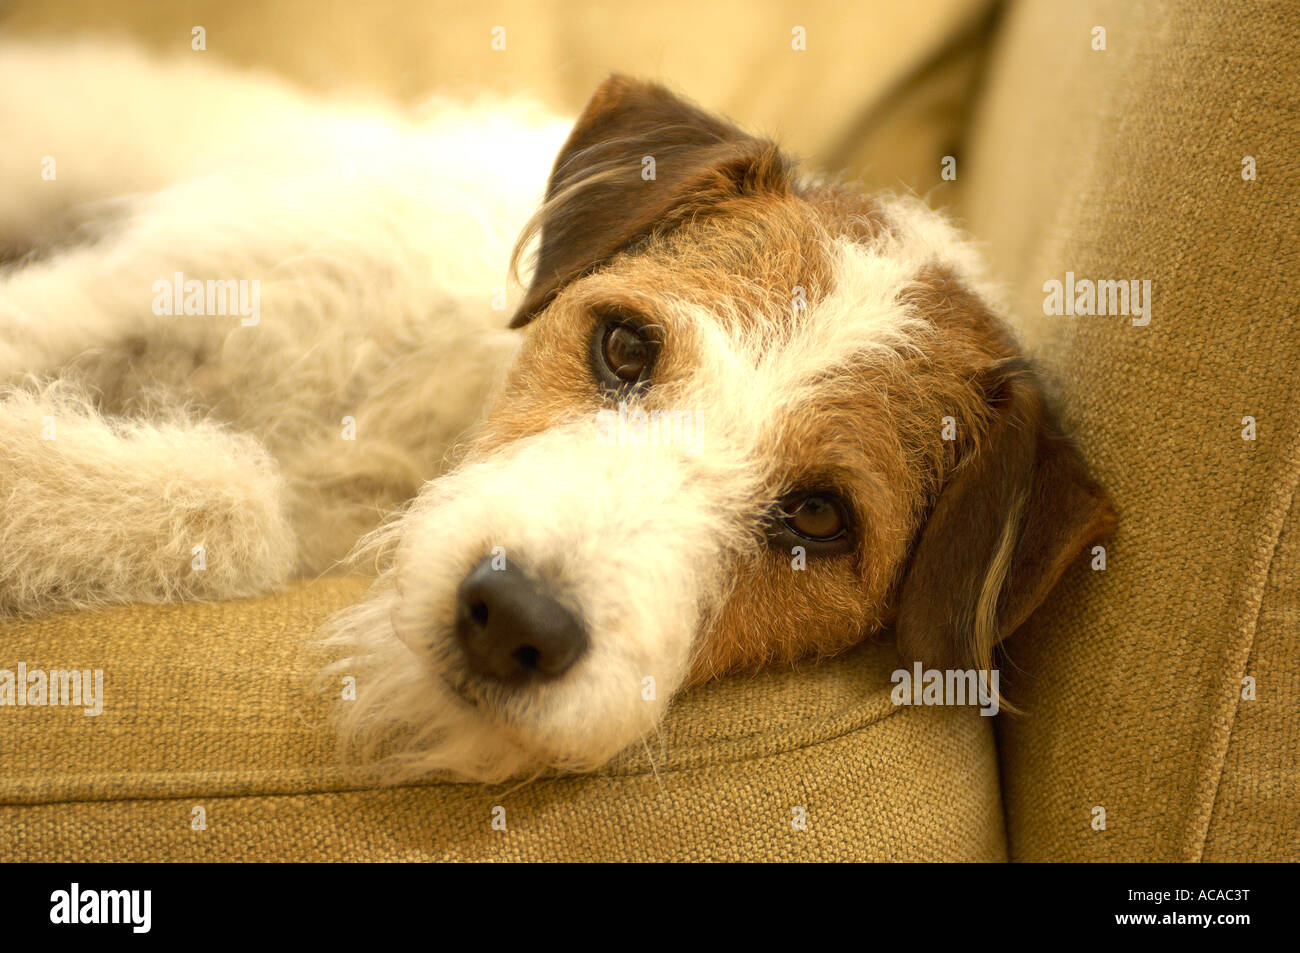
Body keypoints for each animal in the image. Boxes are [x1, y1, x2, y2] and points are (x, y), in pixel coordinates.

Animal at [2, 40, 1118, 780]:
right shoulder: (126, 297)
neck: (423, 428)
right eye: (624, 346)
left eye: (817, 517)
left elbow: (242, 503)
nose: (512, 623)